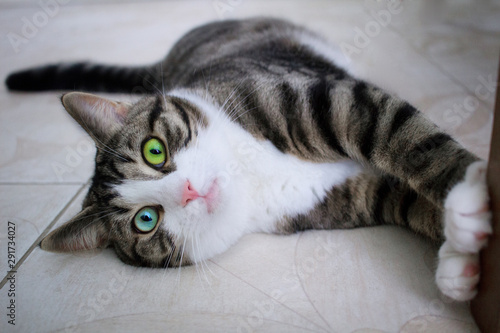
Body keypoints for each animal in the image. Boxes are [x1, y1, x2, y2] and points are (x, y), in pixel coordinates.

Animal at [5, 18, 492, 300]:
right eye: (146, 220)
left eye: (154, 150)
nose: (189, 190)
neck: (250, 175)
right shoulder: (338, 198)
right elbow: (401, 201)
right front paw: (460, 256)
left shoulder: (321, 102)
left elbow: (408, 138)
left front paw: (468, 187)